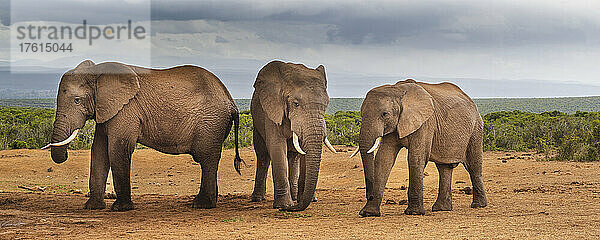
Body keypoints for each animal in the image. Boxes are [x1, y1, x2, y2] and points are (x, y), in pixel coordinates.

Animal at [41, 60, 244, 212]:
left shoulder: (126, 109)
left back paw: (201, 205)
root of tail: (231, 102)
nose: (65, 155)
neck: (97, 73)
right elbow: (98, 152)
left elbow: (117, 150)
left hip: (211, 123)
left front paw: (120, 209)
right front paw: (91, 207)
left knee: (206, 159)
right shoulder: (106, 109)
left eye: (77, 100)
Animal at [246, 61, 336, 211]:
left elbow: (303, 151)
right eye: (296, 104)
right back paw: (258, 198)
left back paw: (296, 197)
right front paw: (284, 205)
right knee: (263, 156)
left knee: (294, 156)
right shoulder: (272, 109)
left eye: (326, 105)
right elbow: (276, 146)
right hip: (257, 123)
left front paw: (304, 200)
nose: (290, 209)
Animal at [352, 79, 488, 217]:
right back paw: (441, 209)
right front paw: (368, 213)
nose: (369, 196)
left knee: (473, 166)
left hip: (476, 128)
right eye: (361, 114)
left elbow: (415, 157)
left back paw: (478, 205)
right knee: (444, 168)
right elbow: (384, 159)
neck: (397, 90)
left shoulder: (425, 122)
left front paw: (414, 212)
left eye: (385, 114)